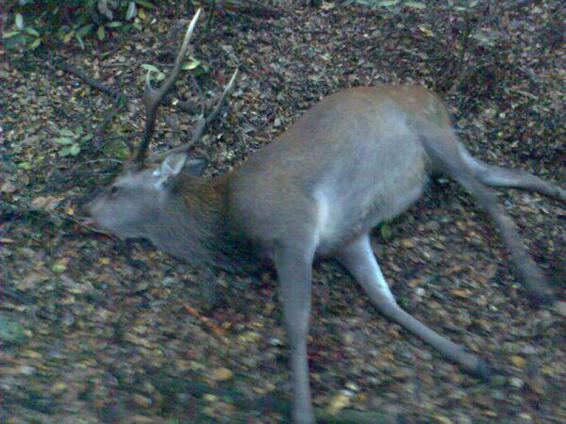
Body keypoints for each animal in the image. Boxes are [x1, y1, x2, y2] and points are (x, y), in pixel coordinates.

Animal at [82, 8, 564, 422]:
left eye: (116, 187)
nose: (83, 211)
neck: (230, 223)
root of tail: (433, 94)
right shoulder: (347, 237)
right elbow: (386, 302)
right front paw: (475, 362)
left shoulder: (294, 228)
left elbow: (297, 323)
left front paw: (302, 412)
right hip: (447, 149)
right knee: (506, 175)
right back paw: (555, 192)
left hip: (433, 136)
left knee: (489, 198)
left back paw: (538, 284)